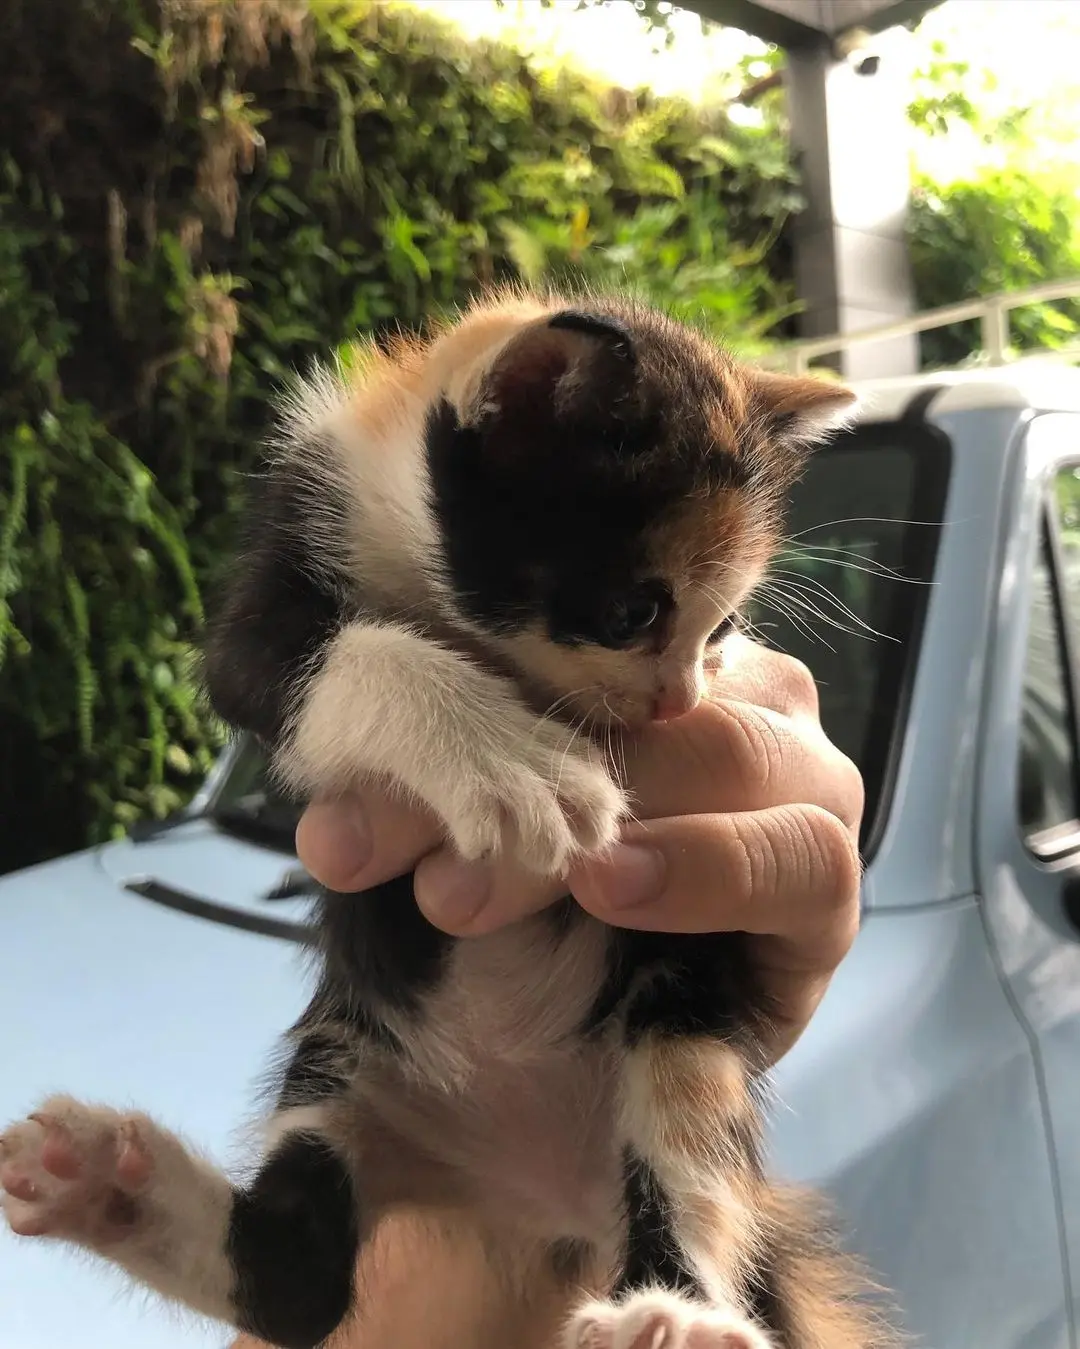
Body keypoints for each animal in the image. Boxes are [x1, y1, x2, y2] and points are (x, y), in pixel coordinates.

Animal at [0, 288, 888, 1349]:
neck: (404, 533)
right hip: (345, 1059)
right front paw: (513, 761)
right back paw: (104, 1183)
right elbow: (346, 655)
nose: (678, 703)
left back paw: (670, 1316)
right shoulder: (271, 586)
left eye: (722, 632)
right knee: (299, 1279)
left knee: (687, 1153)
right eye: (634, 611)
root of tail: (529, 1193)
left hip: (676, 1025)